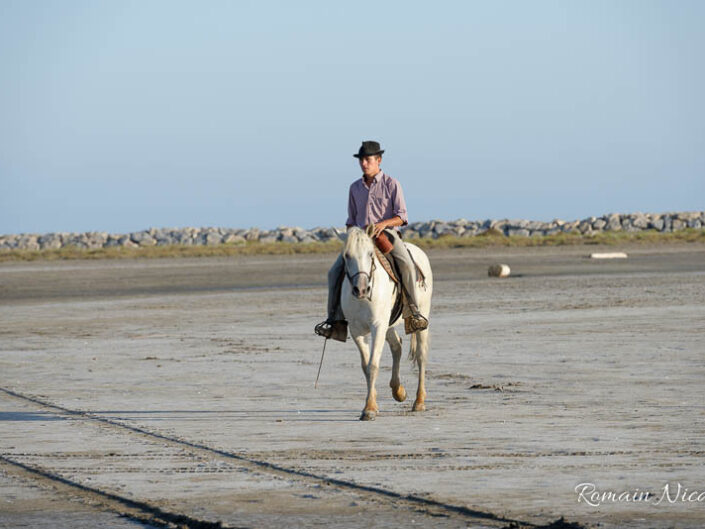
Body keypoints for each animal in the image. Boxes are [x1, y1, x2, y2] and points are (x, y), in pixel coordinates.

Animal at [340, 227, 432, 420]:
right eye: (346, 256)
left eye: (370, 254)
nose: (361, 289)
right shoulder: (356, 330)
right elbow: (366, 366)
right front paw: (371, 405)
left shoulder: (377, 325)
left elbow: (373, 364)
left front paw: (369, 408)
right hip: (388, 325)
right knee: (397, 346)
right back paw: (398, 391)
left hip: (420, 318)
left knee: (421, 356)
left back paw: (419, 402)